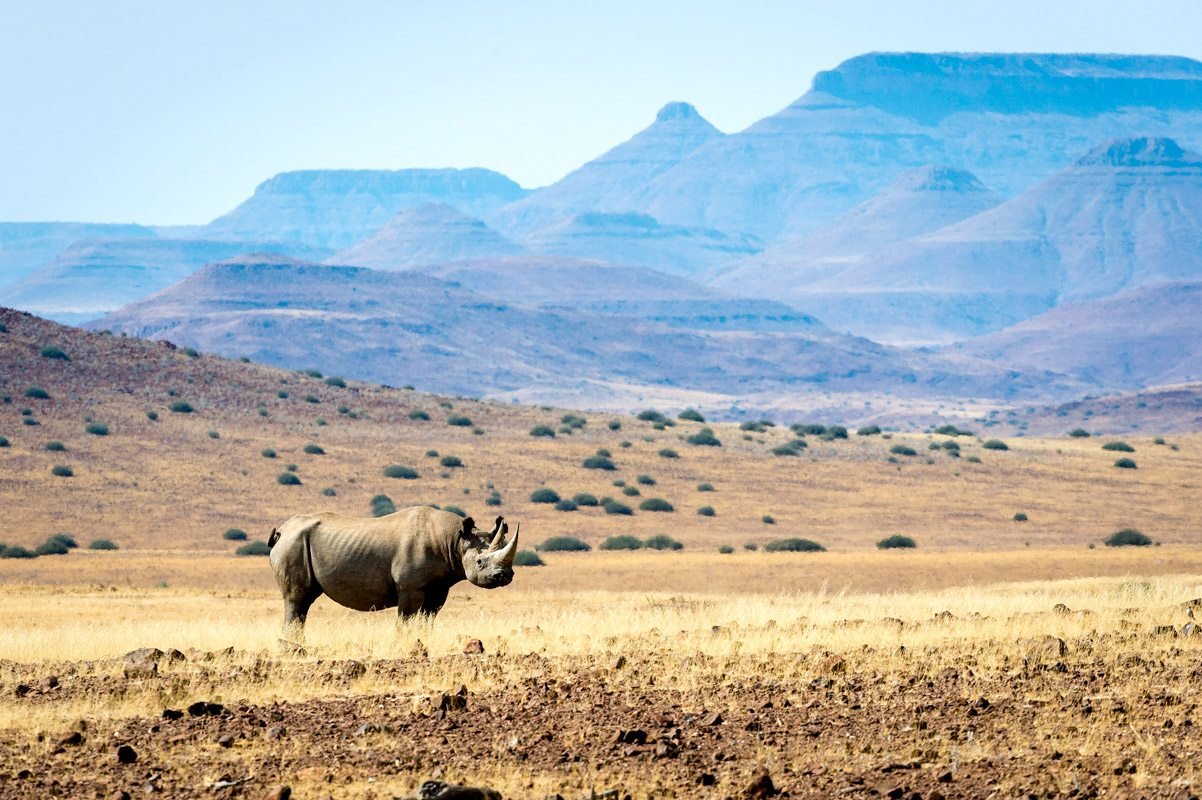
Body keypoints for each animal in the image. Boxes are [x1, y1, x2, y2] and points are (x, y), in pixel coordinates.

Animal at [268, 506, 519, 631]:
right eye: (479, 562)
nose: (505, 576)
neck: (455, 541)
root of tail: (282, 531)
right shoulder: (409, 586)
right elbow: (405, 620)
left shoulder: (439, 587)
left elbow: (427, 620)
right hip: (293, 544)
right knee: (296, 598)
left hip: (298, 544)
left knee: (304, 602)